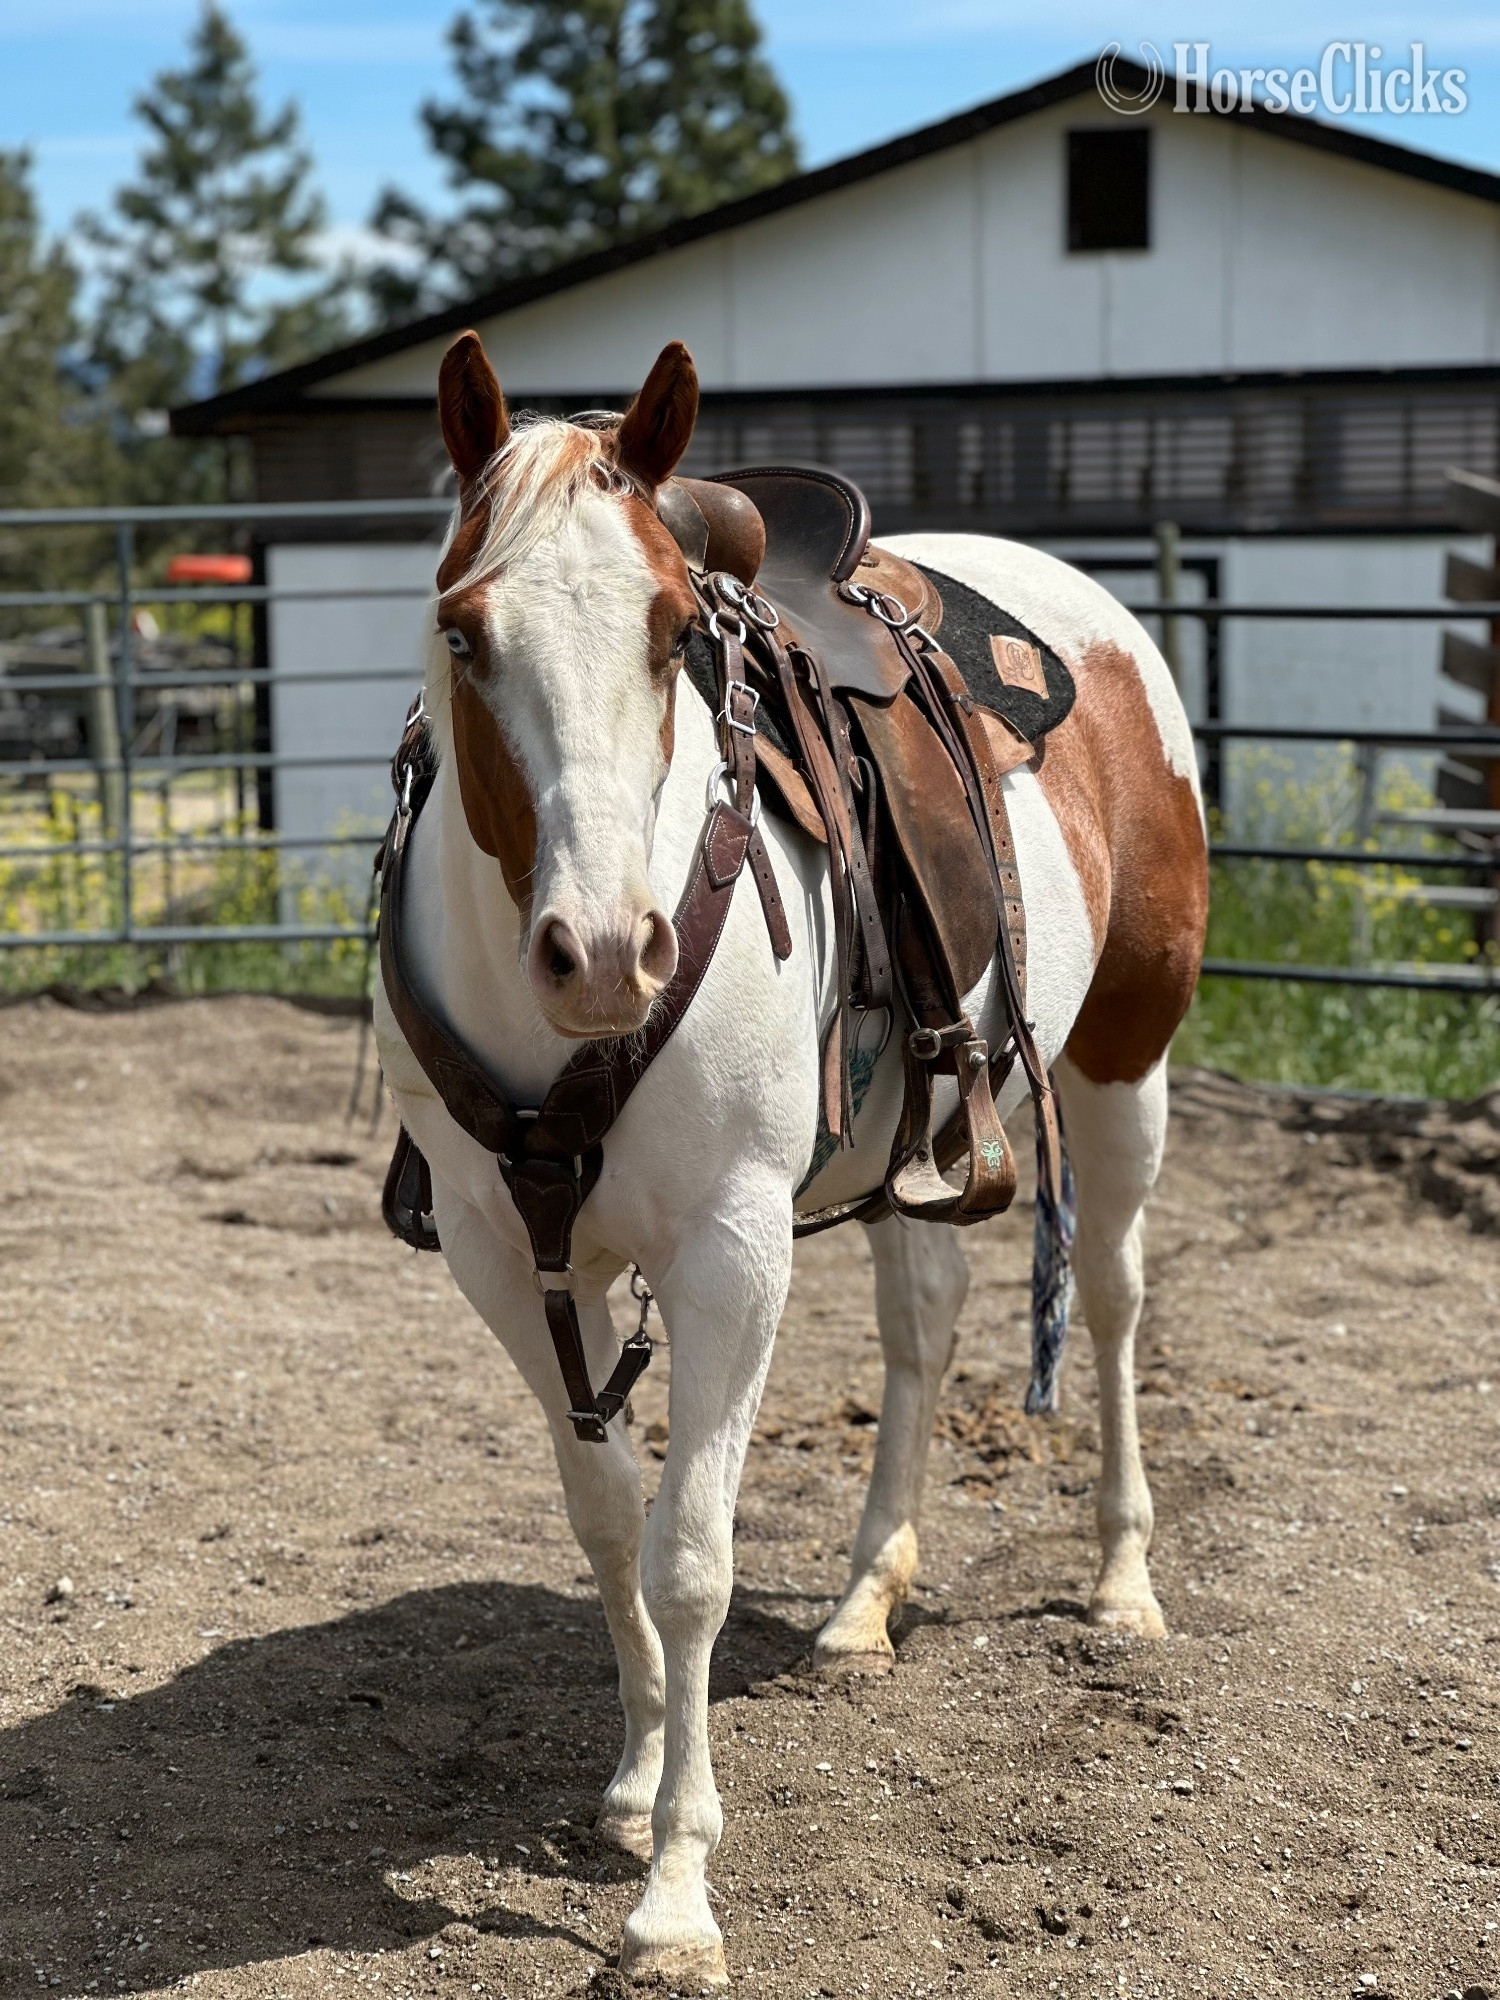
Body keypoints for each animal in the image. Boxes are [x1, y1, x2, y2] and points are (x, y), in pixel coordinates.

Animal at [372, 329, 1208, 1989]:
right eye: (464, 628)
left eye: (671, 633)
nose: (602, 955)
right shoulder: (509, 1256)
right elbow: (608, 1518)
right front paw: (636, 1778)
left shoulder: (732, 1254)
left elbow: (691, 1555)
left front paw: (675, 1896)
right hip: (915, 1146)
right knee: (923, 1327)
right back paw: (865, 1604)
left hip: (1121, 1070)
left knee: (1114, 1303)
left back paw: (1121, 1580)